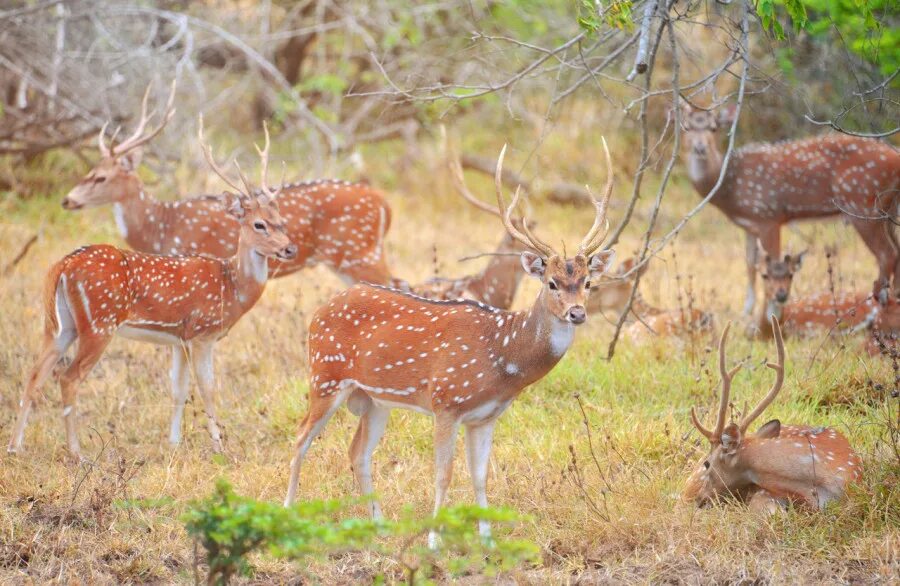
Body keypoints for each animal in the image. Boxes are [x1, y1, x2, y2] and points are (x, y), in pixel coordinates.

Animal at [7, 118, 296, 456]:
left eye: (281, 220)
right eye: (258, 224)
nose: (290, 248)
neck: (230, 287)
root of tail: (63, 266)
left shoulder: (179, 338)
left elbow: (178, 388)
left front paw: (173, 442)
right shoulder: (202, 333)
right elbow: (208, 388)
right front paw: (219, 447)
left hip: (59, 324)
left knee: (34, 373)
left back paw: (14, 447)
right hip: (99, 323)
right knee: (68, 378)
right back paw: (77, 452)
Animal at [61, 80, 400, 286]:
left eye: (101, 177)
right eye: (91, 169)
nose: (67, 199)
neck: (161, 227)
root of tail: (384, 203)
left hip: (359, 253)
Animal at [284, 141, 620, 544]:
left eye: (587, 282)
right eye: (551, 282)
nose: (577, 313)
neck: (502, 357)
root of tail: (320, 310)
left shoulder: (486, 417)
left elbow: (480, 476)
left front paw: (487, 539)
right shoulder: (446, 400)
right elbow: (443, 475)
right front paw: (433, 541)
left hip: (374, 399)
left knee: (357, 451)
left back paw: (379, 525)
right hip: (325, 376)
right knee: (300, 437)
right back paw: (287, 513)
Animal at [684, 99, 900, 314]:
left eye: (714, 128)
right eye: (686, 127)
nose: (700, 148)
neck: (730, 188)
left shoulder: (768, 216)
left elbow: (772, 262)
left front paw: (770, 311)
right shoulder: (749, 225)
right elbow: (750, 265)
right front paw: (747, 311)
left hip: (862, 205)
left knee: (886, 254)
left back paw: (878, 301)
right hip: (886, 212)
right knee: (896, 252)